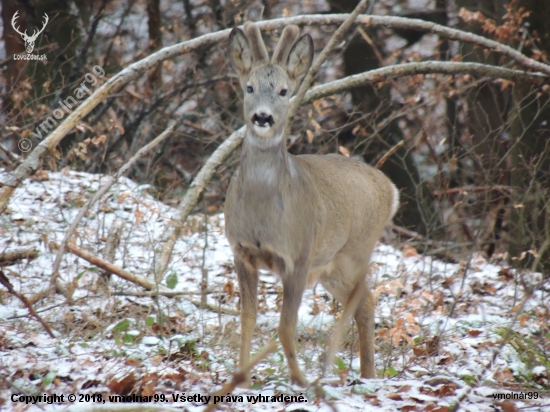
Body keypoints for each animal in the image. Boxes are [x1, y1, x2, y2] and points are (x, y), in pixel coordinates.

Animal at [225, 20, 402, 384]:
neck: (262, 217)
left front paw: (300, 381)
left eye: (284, 91)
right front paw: (241, 377)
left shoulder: (298, 257)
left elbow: (286, 326)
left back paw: (350, 371)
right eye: (249, 87)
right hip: (330, 266)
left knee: (362, 300)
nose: (262, 117)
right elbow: (248, 318)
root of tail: (391, 189)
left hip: (355, 250)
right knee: (366, 301)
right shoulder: (241, 251)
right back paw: (366, 374)